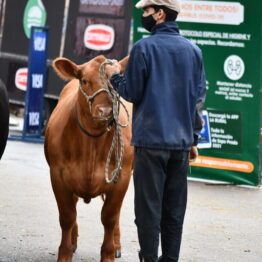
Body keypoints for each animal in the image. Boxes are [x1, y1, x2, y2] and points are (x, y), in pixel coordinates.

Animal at [44, 55, 133, 262]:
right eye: (84, 80)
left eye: (116, 83)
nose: (105, 111)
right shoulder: (58, 176)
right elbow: (67, 216)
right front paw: (65, 253)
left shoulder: (122, 178)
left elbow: (110, 217)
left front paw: (108, 254)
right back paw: (73, 241)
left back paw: (117, 245)